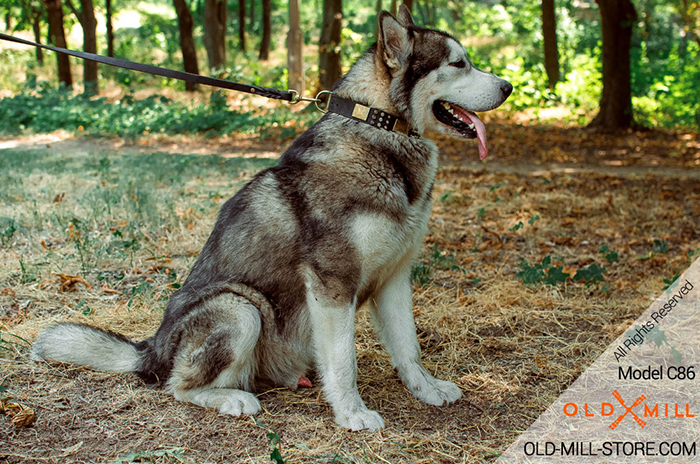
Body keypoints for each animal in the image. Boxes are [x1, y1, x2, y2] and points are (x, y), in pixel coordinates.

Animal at [32, 6, 512, 432]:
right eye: (458, 63)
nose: (508, 86)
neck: (380, 129)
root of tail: (152, 348)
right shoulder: (332, 285)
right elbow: (344, 362)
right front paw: (352, 414)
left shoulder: (394, 278)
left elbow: (409, 347)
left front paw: (426, 390)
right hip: (240, 308)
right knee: (177, 387)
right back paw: (232, 399)